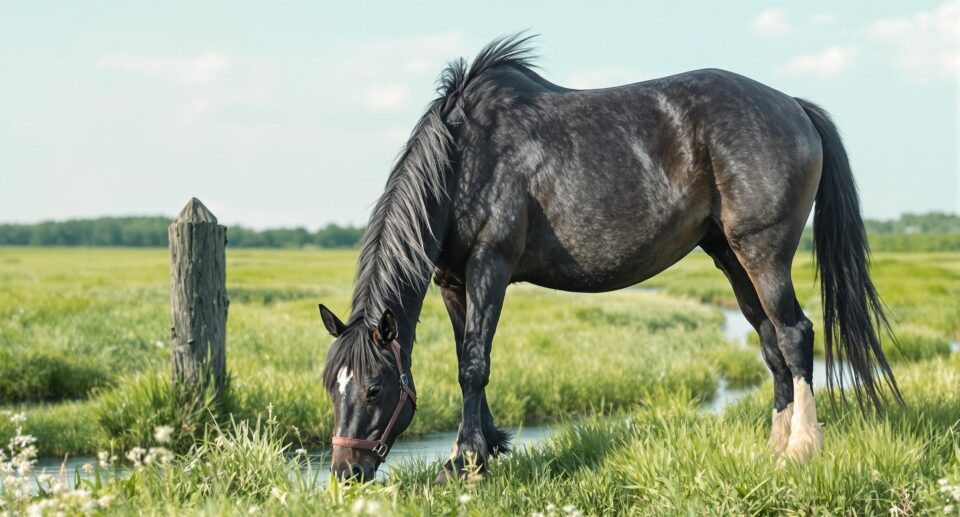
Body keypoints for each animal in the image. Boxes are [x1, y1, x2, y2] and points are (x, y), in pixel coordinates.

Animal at [316, 34, 900, 482]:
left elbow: (474, 364)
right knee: (771, 340)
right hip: (731, 258)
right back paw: (774, 450)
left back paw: (801, 449)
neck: (465, 158)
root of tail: (794, 106)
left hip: (764, 254)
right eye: (330, 386)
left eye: (373, 388)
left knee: (796, 334)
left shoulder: (490, 266)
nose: (345, 472)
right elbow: (468, 356)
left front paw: (464, 462)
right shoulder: (453, 280)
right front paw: (487, 447)